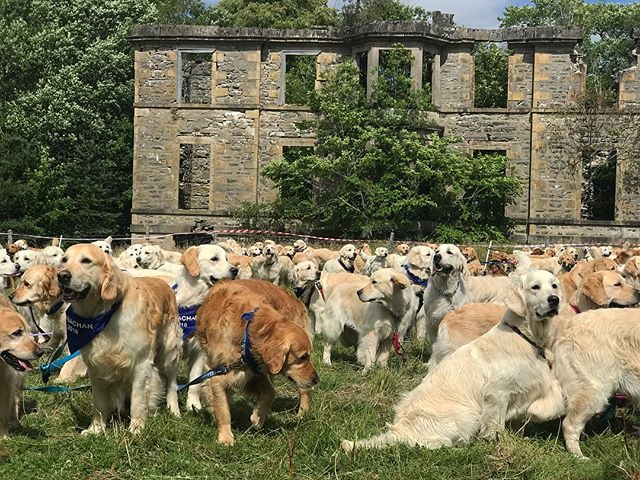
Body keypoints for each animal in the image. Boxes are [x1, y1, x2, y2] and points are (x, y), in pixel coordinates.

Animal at [0, 308, 43, 438]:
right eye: (17, 333)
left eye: (29, 332)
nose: (41, 352)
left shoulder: (6, 382)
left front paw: (3, 436)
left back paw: (14, 421)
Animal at [57, 246, 182, 434]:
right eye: (64, 259)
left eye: (86, 260)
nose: (62, 276)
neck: (103, 314)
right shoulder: (95, 366)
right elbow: (99, 403)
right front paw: (95, 429)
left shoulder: (141, 364)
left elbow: (138, 400)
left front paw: (136, 429)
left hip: (169, 349)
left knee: (171, 382)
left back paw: (174, 410)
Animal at [196, 280, 318, 444]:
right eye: (303, 357)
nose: (316, 379)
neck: (248, 331)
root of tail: (295, 299)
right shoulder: (219, 373)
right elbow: (223, 408)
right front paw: (226, 437)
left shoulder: (255, 371)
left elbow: (271, 392)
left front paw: (258, 418)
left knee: (305, 391)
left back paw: (302, 414)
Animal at [342, 268, 564, 452]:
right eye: (535, 287)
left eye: (554, 285)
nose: (554, 300)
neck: (525, 336)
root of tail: (400, 429)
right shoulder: (497, 394)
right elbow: (495, 425)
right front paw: (495, 441)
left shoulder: (526, 390)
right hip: (467, 413)